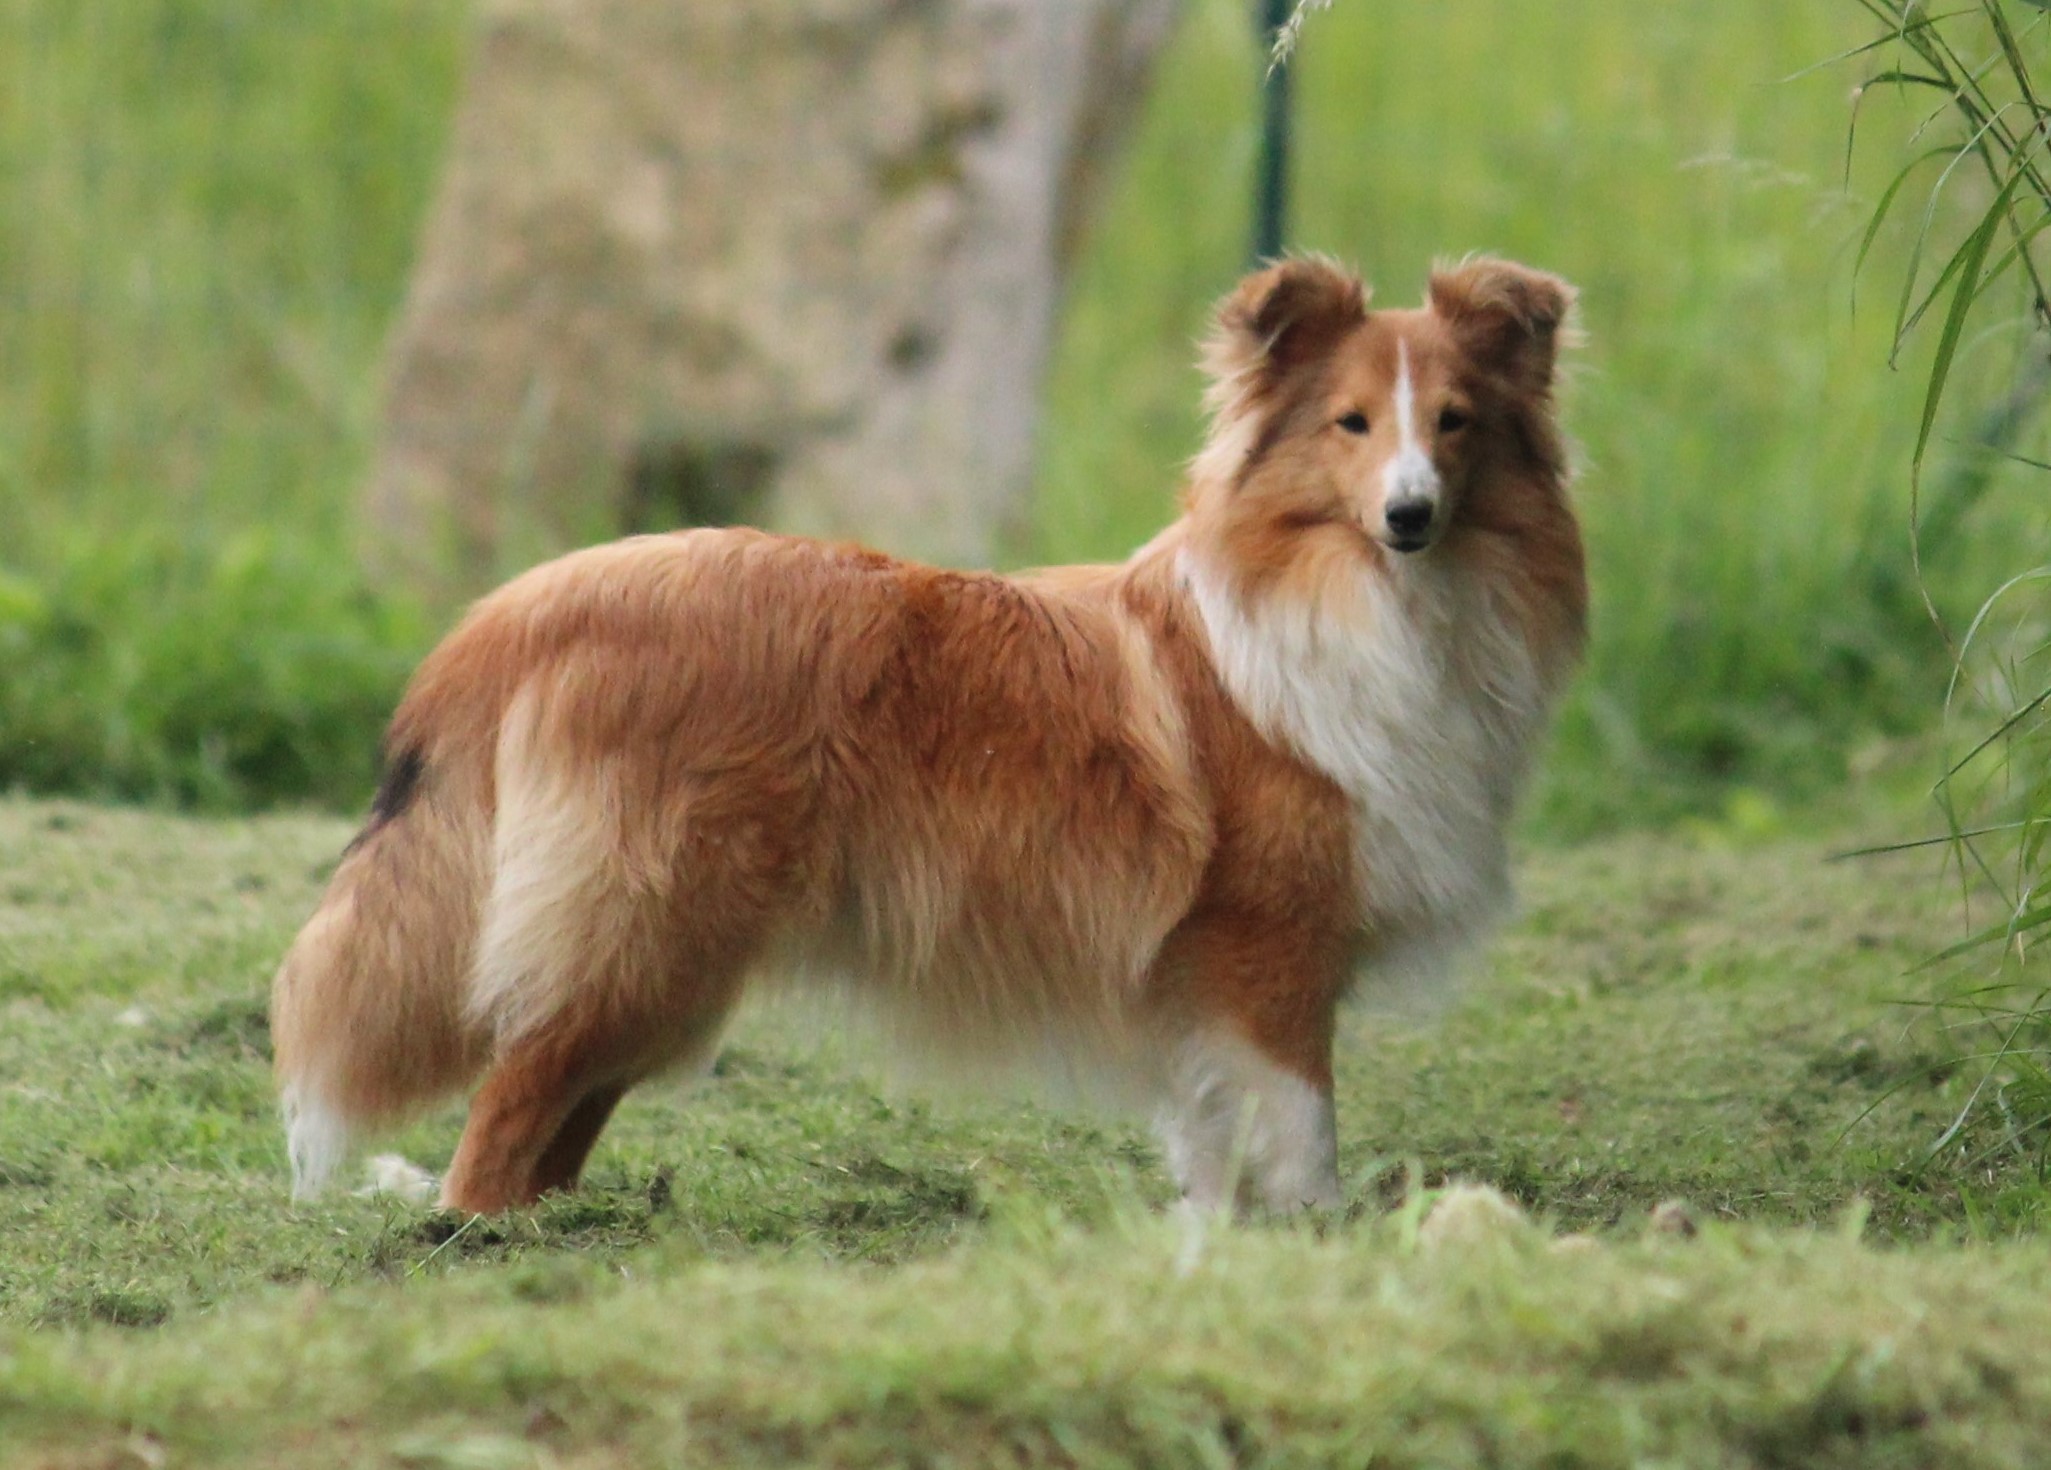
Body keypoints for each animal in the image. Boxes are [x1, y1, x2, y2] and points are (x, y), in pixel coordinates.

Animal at [272, 255, 1583, 1213]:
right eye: (1350, 425)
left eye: (1456, 423)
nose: (1409, 516)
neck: (1369, 602)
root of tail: (526, 606)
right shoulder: (1267, 950)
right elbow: (1301, 1126)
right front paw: (1319, 1243)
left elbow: (1215, 1131)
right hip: (648, 928)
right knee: (507, 1105)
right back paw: (478, 1237)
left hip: (663, 956)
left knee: (560, 1097)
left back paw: (550, 1225)